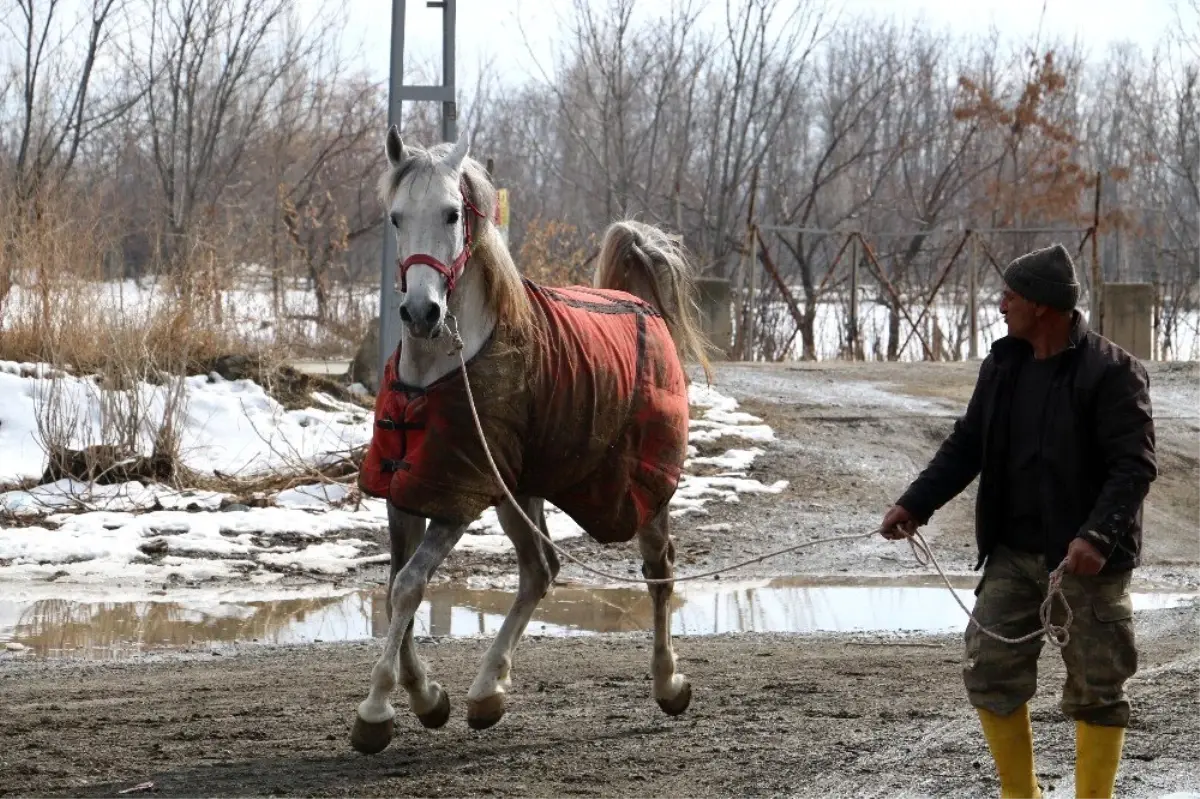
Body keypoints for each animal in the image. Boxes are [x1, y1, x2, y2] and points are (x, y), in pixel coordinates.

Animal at [350, 125, 710, 753]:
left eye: (452, 213)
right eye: (396, 216)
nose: (421, 312)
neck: (437, 371)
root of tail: (643, 306)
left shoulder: (459, 496)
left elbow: (409, 585)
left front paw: (377, 710)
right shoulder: (408, 490)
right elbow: (397, 584)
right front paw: (427, 698)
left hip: (644, 494)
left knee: (659, 569)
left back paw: (668, 683)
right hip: (521, 491)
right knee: (541, 567)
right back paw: (487, 691)